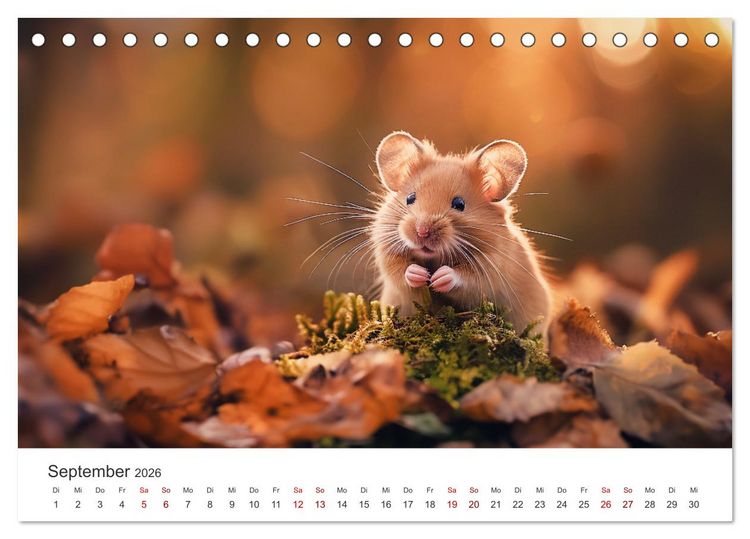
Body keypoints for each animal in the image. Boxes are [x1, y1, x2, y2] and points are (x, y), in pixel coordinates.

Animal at [370, 131, 552, 337]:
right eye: (410, 198)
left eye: (459, 204)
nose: (422, 231)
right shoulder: (386, 249)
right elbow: (399, 270)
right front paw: (421, 275)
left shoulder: (491, 268)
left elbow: (466, 279)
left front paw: (438, 278)